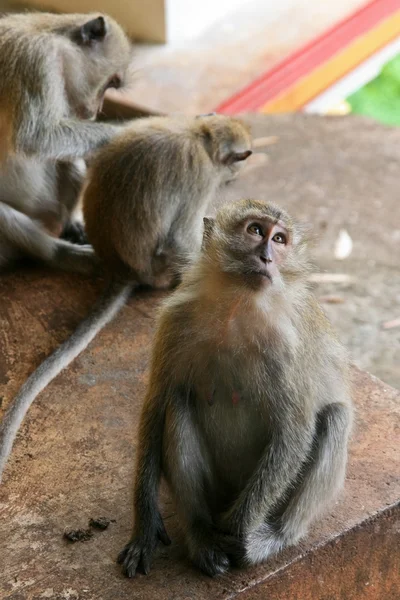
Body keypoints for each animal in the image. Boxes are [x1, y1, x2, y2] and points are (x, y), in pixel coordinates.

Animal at [0, 11, 133, 272]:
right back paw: (60, 254)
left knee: (70, 159)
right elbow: (36, 136)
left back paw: (69, 225)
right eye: (111, 82)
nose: (97, 110)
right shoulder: (35, 62)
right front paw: (127, 132)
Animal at [0, 113, 252, 482]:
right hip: (157, 269)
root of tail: (122, 269)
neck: (200, 135)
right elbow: (180, 238)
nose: (234, 178)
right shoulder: (199, 177)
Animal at [119, 198, 354, 576]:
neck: (237, 305)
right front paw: (145, 524)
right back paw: (200, 536)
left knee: (334, 417)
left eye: (280, 239)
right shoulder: (174, 319)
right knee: (178, 402)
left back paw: (272, 538)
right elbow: (156, 405)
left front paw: (237, 528)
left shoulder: (287, 345)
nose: (267, 257)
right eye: (256, 231)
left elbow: (294, 430)